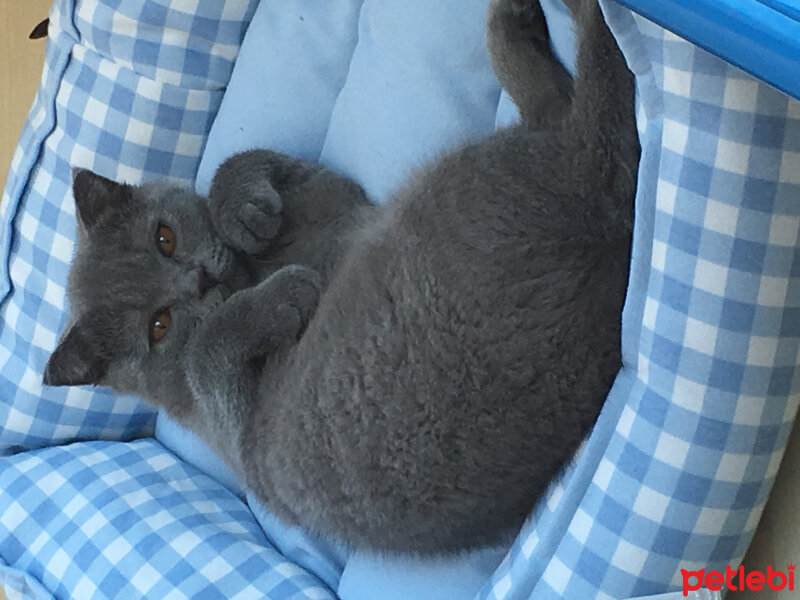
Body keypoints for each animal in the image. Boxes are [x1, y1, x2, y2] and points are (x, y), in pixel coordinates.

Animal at [48, 0, 636, 552]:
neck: (254, 272)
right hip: (475, 187)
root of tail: (590, 208)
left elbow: (238, 162)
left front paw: (243, 215)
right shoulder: (241, 436)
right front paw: (287, 291)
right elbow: (206, 350)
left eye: (165, 238)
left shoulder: (332, 194)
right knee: (591, 119)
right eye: (159, 326)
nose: (199, 282)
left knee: (565, 106)